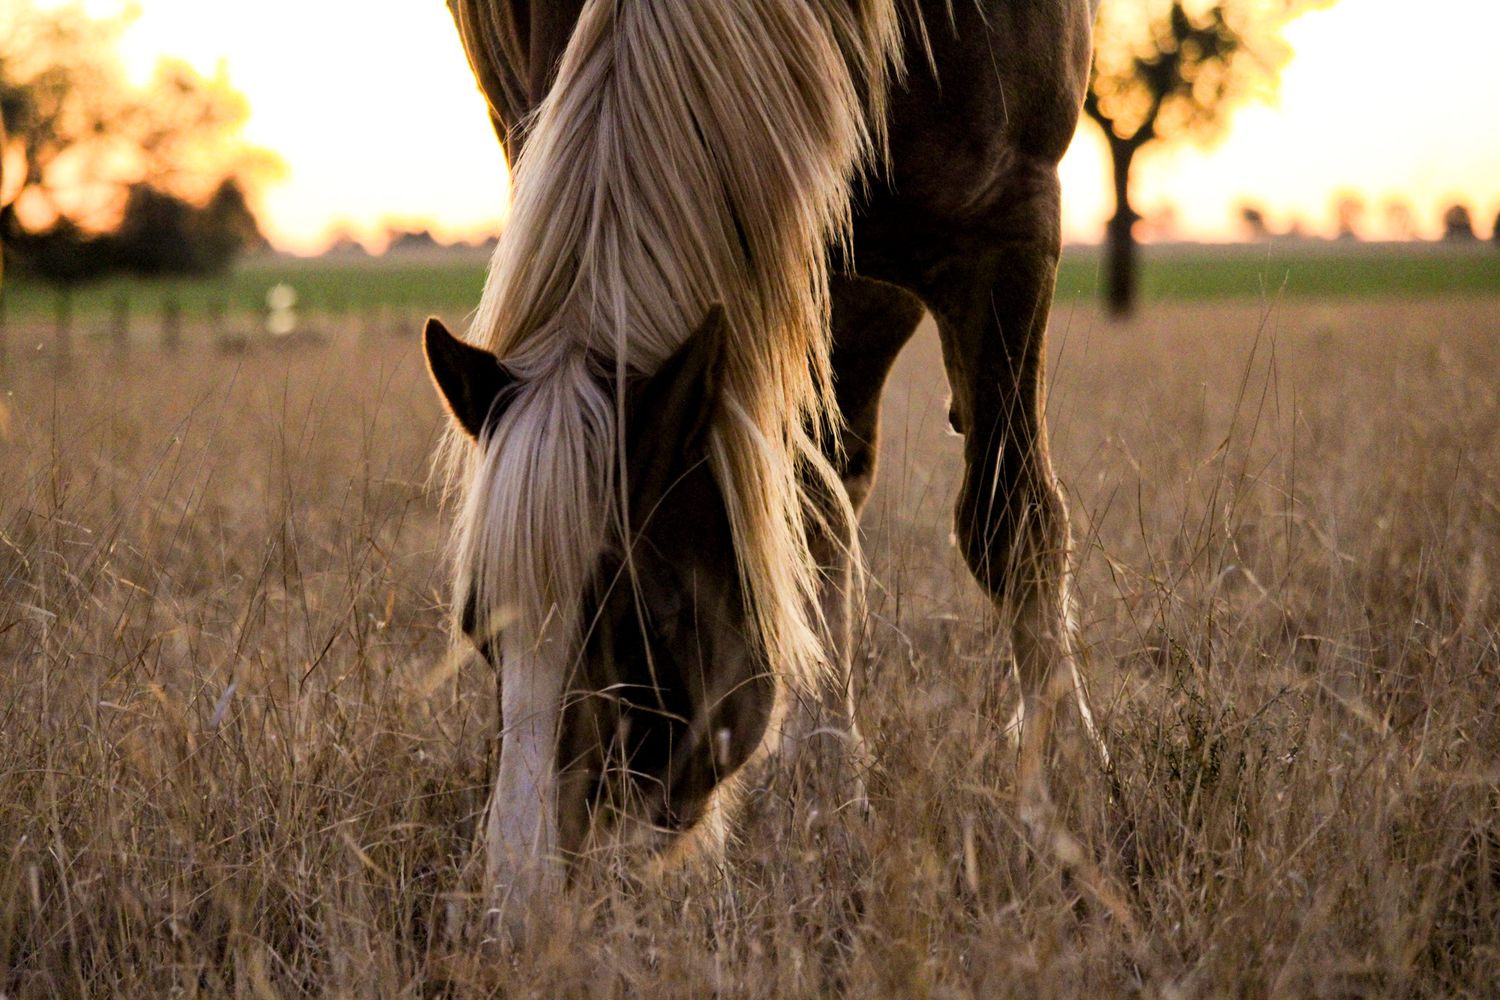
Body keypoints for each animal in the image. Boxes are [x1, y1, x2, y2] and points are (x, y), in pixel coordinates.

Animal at [425, 0, 1104, 923]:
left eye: (648, 619)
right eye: (477, 628)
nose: (525, 909)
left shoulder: (1008, 220)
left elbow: (1012, 522)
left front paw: (1064, 793)